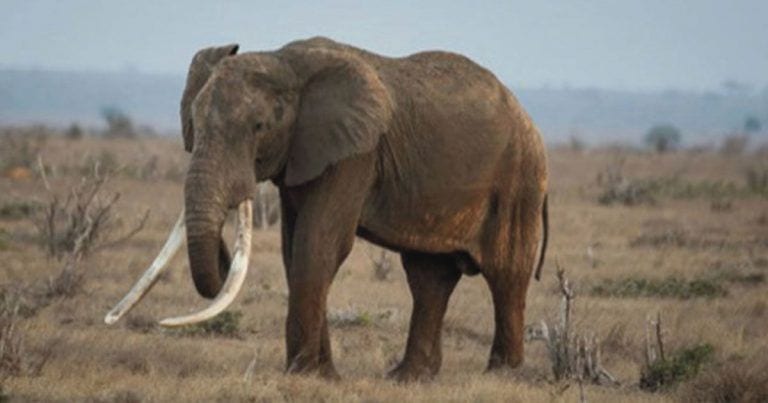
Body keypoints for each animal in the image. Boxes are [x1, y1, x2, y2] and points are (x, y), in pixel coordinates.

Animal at [106, 37, 549, 382]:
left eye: (259, 128)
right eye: (194, 125)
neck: (283, 59)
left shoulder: (355, 154)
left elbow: (319, 244)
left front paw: (305, 374)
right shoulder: (302, 157)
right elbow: (293, 251)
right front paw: (321, 374)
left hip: (518, 181)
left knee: (506, 273)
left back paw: (502, 375)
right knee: (428, 276)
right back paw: (408, 378)